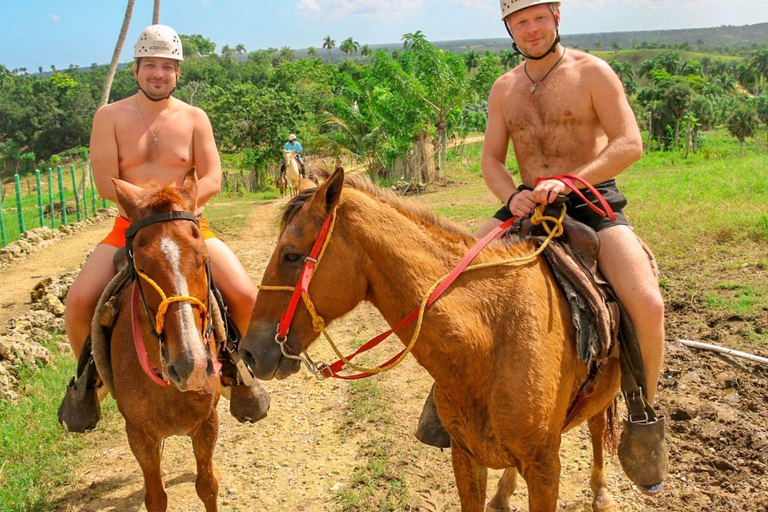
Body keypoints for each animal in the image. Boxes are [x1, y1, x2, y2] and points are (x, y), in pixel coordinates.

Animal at [109, 169, 220, 512]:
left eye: (203, 258)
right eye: (140, 267)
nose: (190, 367)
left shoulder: (208, 423)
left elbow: (207, 486)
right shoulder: (139, 435)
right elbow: (155, 497)